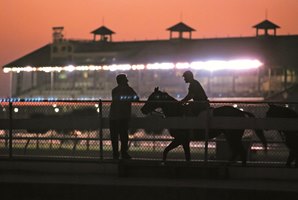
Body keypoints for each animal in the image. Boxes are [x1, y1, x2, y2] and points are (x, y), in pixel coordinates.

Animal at [140, 86, 268, 165]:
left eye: (152, 97)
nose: (142, 110)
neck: (177, 113)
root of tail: (241, 112)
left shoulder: (181, 139)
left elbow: (168, 151)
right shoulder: (183, 141)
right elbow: (179, 154)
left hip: (233, 136)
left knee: (241, 151)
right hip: (230, 137)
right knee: (237, 151)